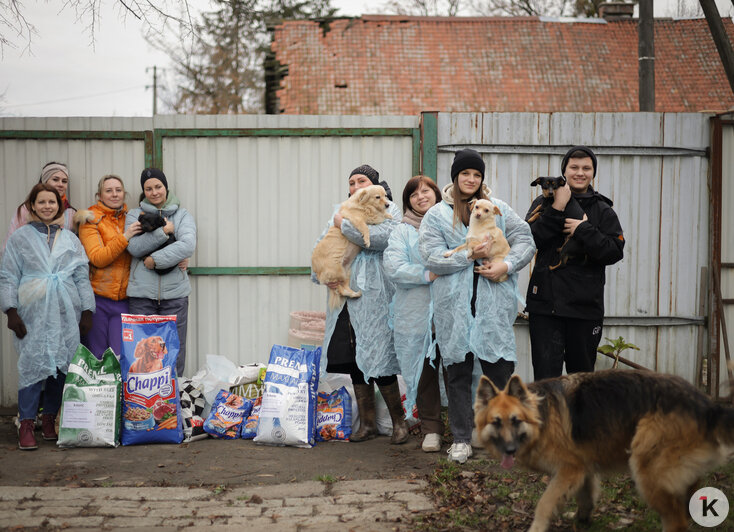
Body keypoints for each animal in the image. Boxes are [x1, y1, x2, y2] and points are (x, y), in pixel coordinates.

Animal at [478, 370, 734, 532]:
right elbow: (585, 495)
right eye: (497, 422)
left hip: (646, 469)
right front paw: (582, 520)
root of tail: (710, 407)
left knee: (677, 522)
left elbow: (545, 502)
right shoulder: (584, 467)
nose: (509, 450)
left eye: (516, 421)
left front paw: (537, 527)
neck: (541, 418)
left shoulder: (570, 469)